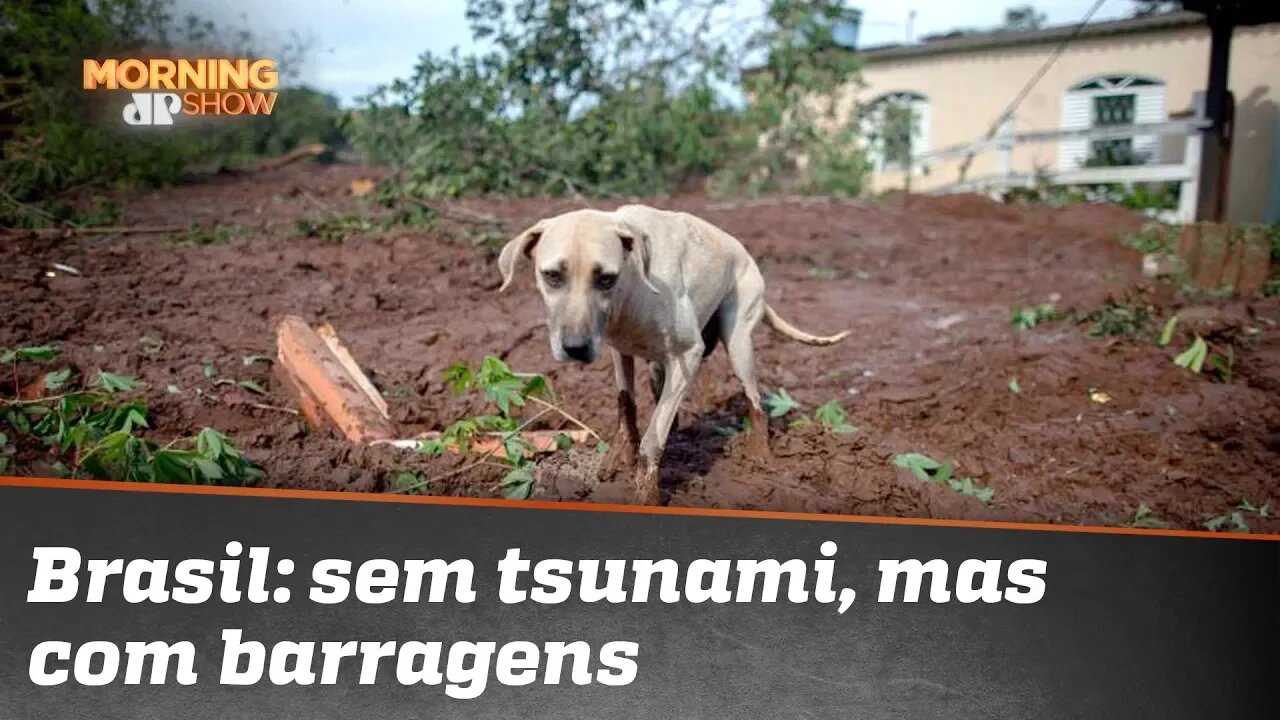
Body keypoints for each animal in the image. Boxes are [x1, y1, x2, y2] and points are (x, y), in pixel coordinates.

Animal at [499, 204, 849, 502]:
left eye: (606, 279)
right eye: (552, 275)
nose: (575, 348)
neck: (632, 286)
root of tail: (745, 252)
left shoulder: (689, 355)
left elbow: (653, 439)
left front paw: (647, 494)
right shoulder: (618, 351)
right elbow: (625, 405)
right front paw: (618, 459)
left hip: (739, 346)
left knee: (755, 402)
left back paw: (759, 454)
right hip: (662, 363)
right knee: (662, 389)